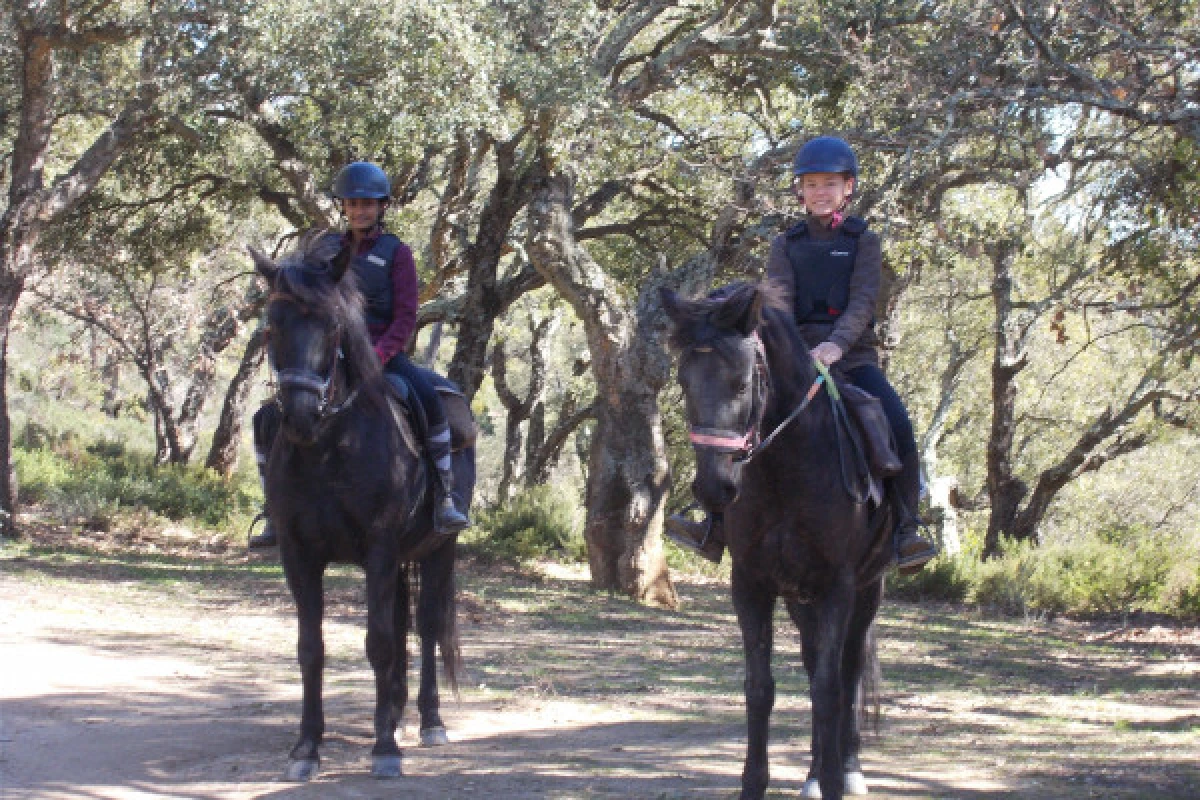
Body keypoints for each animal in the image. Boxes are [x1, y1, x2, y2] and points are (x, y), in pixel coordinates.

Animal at [249, 236, 472, 782]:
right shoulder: (299, 555)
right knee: (402, 625)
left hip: (439, 549)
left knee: (427, 627)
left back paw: (428, 721)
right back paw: (392, 713)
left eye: (332, 325)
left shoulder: (379, 550)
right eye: (272, 324)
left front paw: (385, 750)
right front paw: (306, 748)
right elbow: (312, 648)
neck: (330, 447)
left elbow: (379, 643)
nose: (301, 415)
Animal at [662, 283, 897, 800]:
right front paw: (755, 781)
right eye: (684, 383)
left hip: (866, 591)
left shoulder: (837, 588)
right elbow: (760, 687)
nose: (714, 489)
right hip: (798, 598)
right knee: (814, 666)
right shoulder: (752, 585)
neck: (785, 472)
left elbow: (830, 690)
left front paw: (834, 779)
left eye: (741, 384)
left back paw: (847, 769)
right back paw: (812, 774)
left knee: (847, 671)